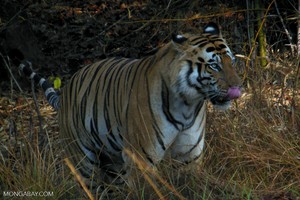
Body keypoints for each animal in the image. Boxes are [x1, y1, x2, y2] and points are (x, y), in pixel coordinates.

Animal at [18, 21, 241, 191]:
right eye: (214, 66)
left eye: (231, 61)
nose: (237, 87)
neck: (188, 104)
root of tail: (65, 92)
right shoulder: (141, 159)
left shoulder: (188, 157)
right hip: (82, 161)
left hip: (113, 162)